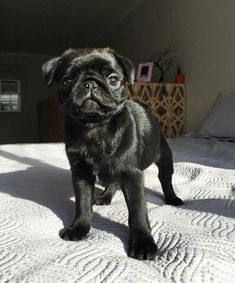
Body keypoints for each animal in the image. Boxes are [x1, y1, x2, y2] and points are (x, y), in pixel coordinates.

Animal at [42, 47, 183, 260]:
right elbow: (82, 203)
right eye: (67, 80)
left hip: (165, 159)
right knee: (112, 181)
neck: (95, 127)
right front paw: (79, 228)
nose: (90, 83)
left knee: (165, 180)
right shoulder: (81, 174)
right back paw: (105, 196)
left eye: (113, 79)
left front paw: (142, 242)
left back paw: (172, 198)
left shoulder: (132, 175)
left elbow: (137, 210)